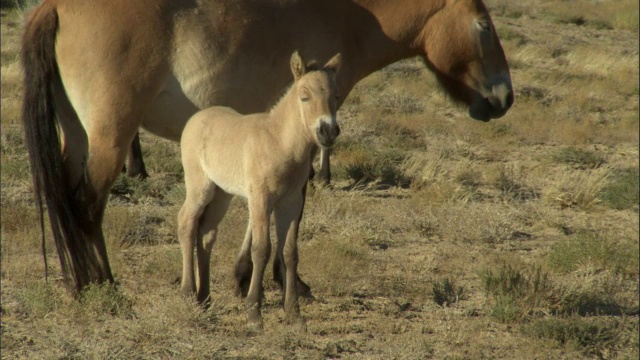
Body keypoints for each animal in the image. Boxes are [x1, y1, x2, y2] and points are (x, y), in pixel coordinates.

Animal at [22, 0, 516, 292]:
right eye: (484, 26)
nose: (505, 98)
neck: (345, 18)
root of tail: (55, 6)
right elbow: (292, 210)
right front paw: (283, 281)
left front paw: (243, 277)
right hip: (110, 135)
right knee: (87, 203)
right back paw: (101, 281)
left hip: (79, 136)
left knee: (67, 200)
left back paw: (76, 279)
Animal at [178, 52, 342, 330]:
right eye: (305, 96)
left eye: (335, 96)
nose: (328, 131)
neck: (279, 141)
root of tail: (195, 119)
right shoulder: (260, 199)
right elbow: (261, 249)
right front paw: (254, 313)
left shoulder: (291, 202)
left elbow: (289, 252)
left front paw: (294, 312)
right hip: (200, 186)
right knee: (186, 223)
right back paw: (189, 293)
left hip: (222, 194)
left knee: (206, 233)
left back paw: (205, 298)